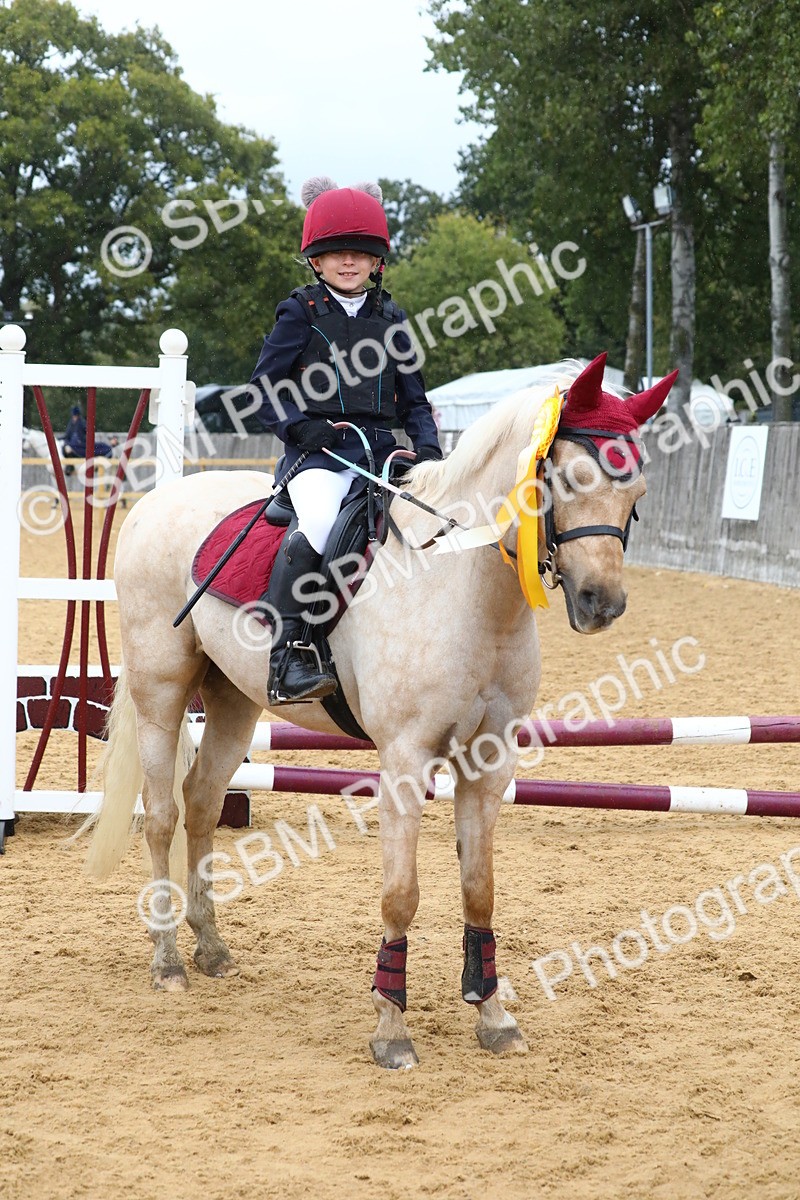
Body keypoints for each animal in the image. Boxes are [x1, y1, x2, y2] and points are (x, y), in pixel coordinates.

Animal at [82, 353, 676, 1068]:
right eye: (567, 477)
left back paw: (212, 948)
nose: (600, 603)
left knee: (201, 804)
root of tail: (156, 503)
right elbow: (402, 894)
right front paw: (391, 1029)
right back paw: (168, 961)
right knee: (163, 815)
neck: (463, 586)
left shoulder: (489, 762)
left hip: (232, 701)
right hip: (162, 691)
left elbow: (480, 888)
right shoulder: (404, 759)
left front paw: (493, 1016)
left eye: (636, 492)